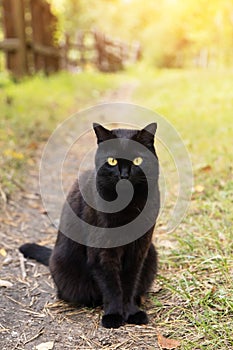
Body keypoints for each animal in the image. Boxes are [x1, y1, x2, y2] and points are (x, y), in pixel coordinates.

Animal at [19, 122, 160, 328]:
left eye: (137, 160)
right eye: (112, 161)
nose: (124, 175)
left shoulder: (139, 250)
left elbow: (130, 283)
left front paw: (132, 312)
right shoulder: (102, 252)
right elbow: (112, 286)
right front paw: (113, 315)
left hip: (152, 253)